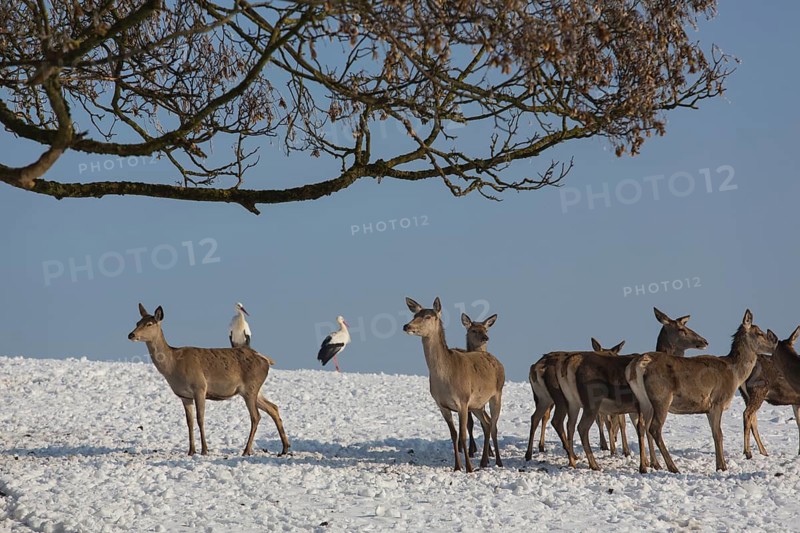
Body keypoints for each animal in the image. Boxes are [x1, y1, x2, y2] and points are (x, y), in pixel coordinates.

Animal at [128, 304, 290, 457]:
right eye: (137, 322)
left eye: (149, 324)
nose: (131, 334)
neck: (173, 366)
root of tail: (265, 360)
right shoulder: (184, 395)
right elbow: (189, 422)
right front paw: (191, 451)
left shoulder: (199, 387)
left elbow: (200, 419)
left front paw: (205, 450)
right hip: (253, 390)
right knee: (273, 408)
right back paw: (284, 448)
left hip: (251, 387)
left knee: (256, 416)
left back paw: (246, 450)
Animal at [459, 312, 498, 458]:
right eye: (474, 330)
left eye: (486, 330)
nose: (485, 338)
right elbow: (469, 424)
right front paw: (471, 450)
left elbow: (483, 422)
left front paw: (490, 452)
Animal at [627, 309, 776, 473]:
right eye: (759, 333)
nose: (775, 345)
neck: (735, 374)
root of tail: (639, 364)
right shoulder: (717, 400)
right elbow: (719, 434)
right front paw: (723, 467)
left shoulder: (708, 408)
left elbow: (714, 433)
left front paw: (719, 465)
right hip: (661, 396)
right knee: (654, 428)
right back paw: (673, 467)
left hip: (643, 400)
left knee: (641, 426)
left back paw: (643, 467)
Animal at [741, 326, 800, 459]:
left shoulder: (796, 402)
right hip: (758, 390)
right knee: (747, 414)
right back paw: (748, 452)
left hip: (747, 395)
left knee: (753, 418)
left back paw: (763, 451)